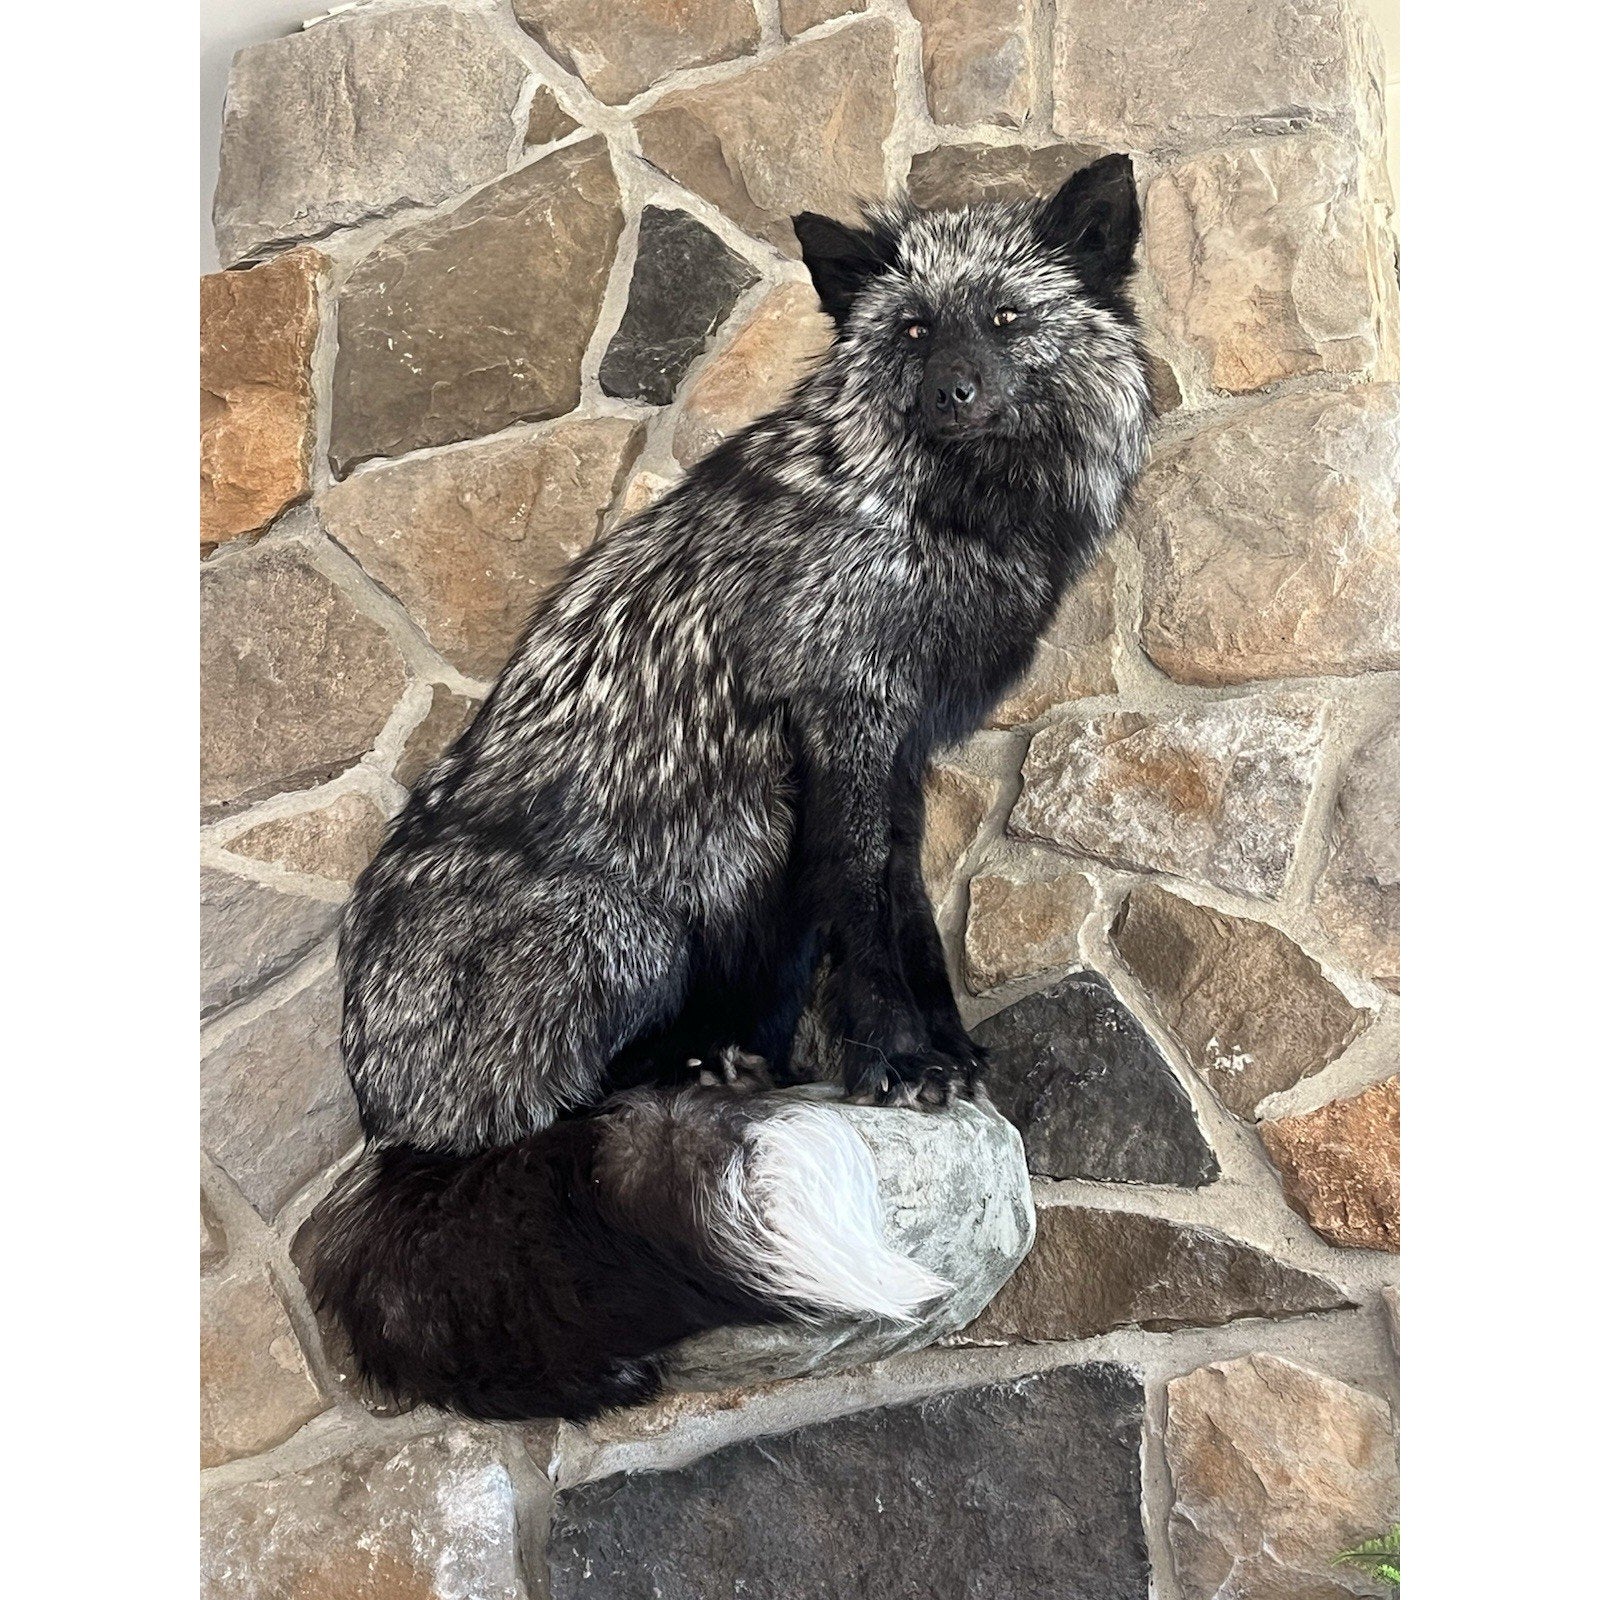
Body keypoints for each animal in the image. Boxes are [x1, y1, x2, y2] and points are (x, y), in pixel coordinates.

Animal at [309, 155, 1155, 1422]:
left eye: (1006, 320)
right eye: (914, 329)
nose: (950, 393)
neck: (938, 511)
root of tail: (388, 1127)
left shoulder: (901, 745)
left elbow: (904, 901)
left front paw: (944, 1050)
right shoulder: (846, 718)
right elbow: (863, 900)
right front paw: (894, 1062)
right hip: (629, 931)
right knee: (570, 1118)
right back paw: (706, 1072)